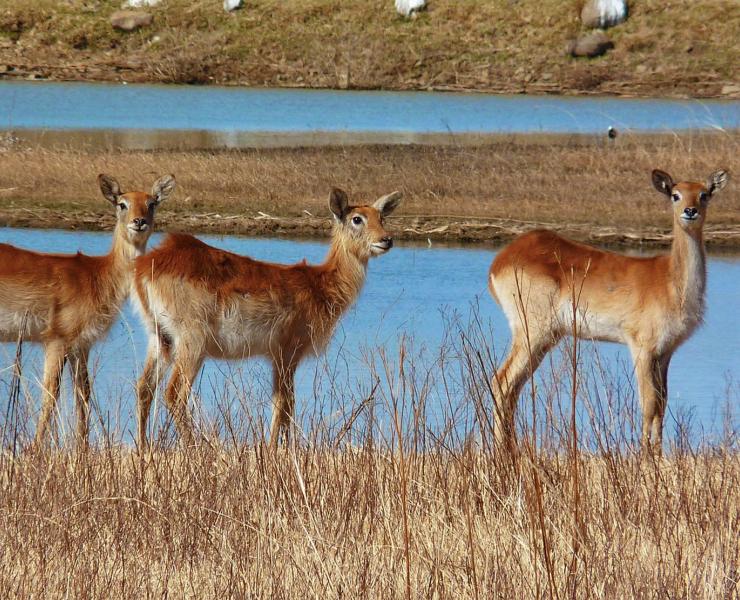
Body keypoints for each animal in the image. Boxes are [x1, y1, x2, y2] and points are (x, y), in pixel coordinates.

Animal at [0, 173, 176, 446]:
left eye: (152, 203)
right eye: (122, 203)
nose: (139, 222)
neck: (98, 277)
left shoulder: (81, 346)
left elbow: (82, 393)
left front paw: (82, 447)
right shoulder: (57, 340)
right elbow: (51, 393)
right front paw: (36, 448)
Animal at [135, 190, 402, 448]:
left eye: (382, 217)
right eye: (357, 218)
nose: (387, 239)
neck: (320, 286)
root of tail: (145, 267)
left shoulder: (276, 356)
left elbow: (279, 402)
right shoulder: (288, 351)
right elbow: (285, 403)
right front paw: (278, 450)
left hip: (160, 337)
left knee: (144, 388)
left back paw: (144, 448)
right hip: (192, 341)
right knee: (173, 394)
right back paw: (198, 448)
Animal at [492, 168, 728, 450]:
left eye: (704, 194)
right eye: (675, 194)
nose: (690, 211)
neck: (672, 282)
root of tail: (501, 260)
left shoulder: (665, 352)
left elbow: (662, 403)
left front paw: (658, 452)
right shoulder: (641, 347)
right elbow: (649, 403)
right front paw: (645, 453)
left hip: (545, 337)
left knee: (513, 386)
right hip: (533, 332)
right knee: (502, 381)